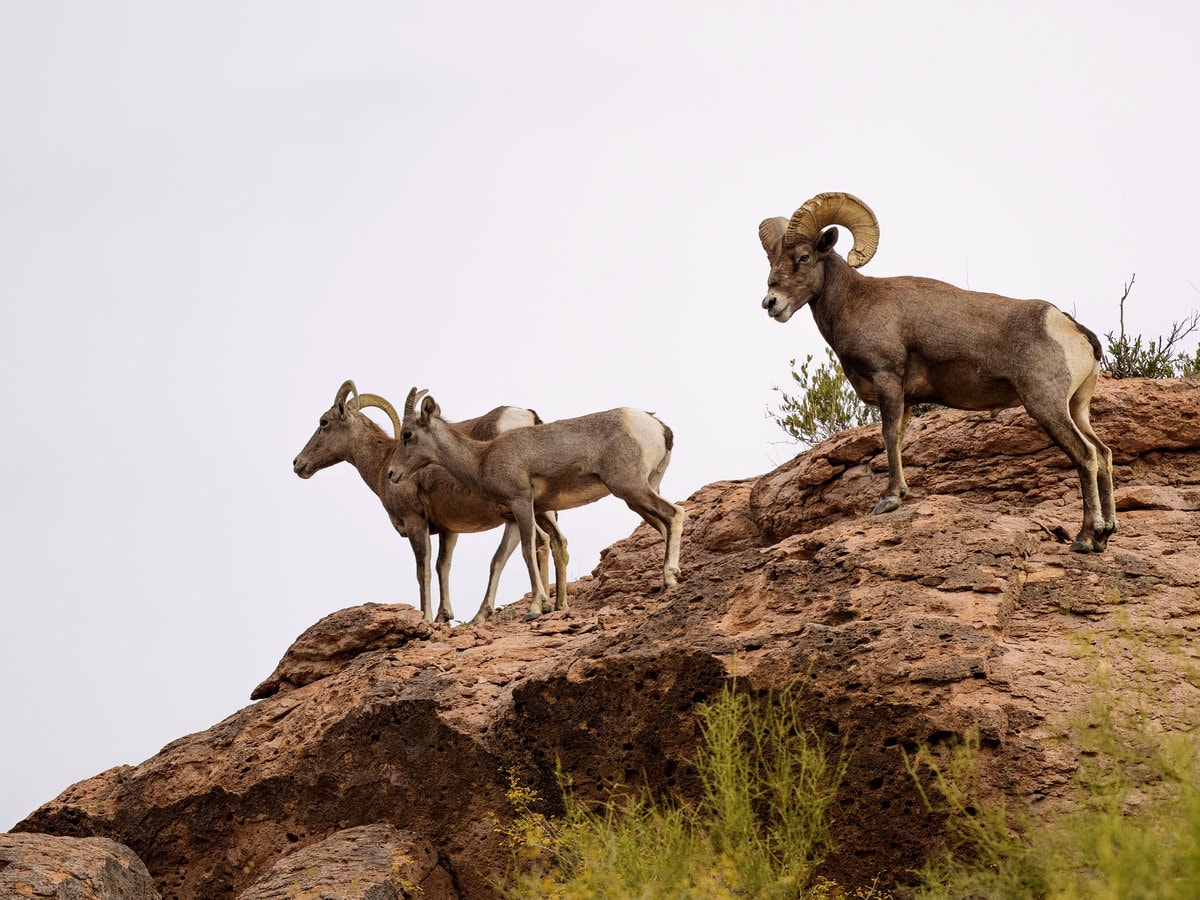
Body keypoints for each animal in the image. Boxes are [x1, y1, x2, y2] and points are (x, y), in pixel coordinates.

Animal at [292, 376, 554, 624]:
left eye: (324, 422)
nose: (297, 463)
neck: (383, 463)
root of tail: (526, 417)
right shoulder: (449, 529)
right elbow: (442, 566)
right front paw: (443, 616)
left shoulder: (415, 521)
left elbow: (423, 571)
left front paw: (427, 619)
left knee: (537, 542)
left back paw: (539, 606)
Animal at [384, 391, 686, 624]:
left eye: (408, 434)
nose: (391, 474)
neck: (481, 459)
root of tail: (657, 426)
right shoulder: (516, 515)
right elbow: (503, 558)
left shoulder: (521, 504)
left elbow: (528, 551)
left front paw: (535, 608)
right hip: (638, 496)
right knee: (664, 525)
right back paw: (668, 577)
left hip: (630, 487)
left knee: (675, 514)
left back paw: (671, 580)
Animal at [758, 192, 1113, 549]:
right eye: (772, 259)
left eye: (803, 257)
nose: (771, 303)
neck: (856, 302)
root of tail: (1069, 327)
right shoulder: (906, 398)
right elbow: (899, 439)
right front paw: (900, 493)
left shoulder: (887, 379)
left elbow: (888, 435)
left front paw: (889, 499)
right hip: (1076, 408)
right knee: (1103, 453)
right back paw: (1105, 534)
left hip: (1046, 406)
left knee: (1085, 455)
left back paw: (1084, 539)